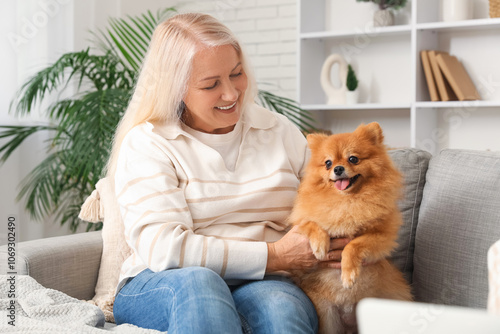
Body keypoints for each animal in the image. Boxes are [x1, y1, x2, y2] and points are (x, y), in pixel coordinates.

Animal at [290, 122, 414, 334]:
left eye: (353, 159)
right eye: (328, 163)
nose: (338, 168)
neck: (346, 202)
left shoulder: (381, 236)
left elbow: (353, 245)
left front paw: (348, 275)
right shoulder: (301, 220)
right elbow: (312, 224)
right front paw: (320, 246)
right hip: (327, 316)